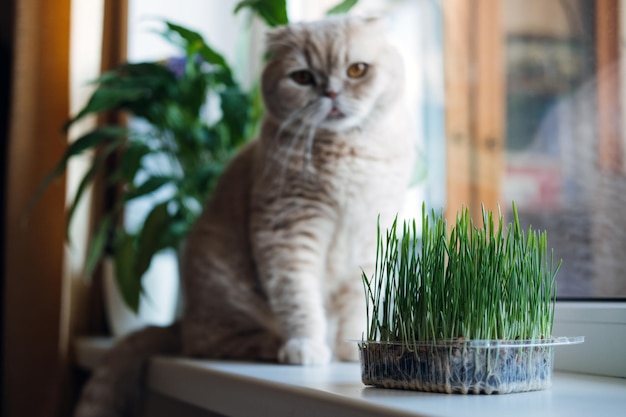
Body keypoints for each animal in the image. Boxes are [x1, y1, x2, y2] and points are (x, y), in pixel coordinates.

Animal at [74, 14, 414, 414]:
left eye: (357, 70)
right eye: (303, 77)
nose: (330, 93)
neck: (348, 154)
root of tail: (180, 322)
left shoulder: (367, 238)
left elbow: (356, 301)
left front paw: (348, 347)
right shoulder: (286, 231)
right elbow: (298, 295)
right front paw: (307, 345)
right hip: (225, 293)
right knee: (215, 344)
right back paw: (279, 347)